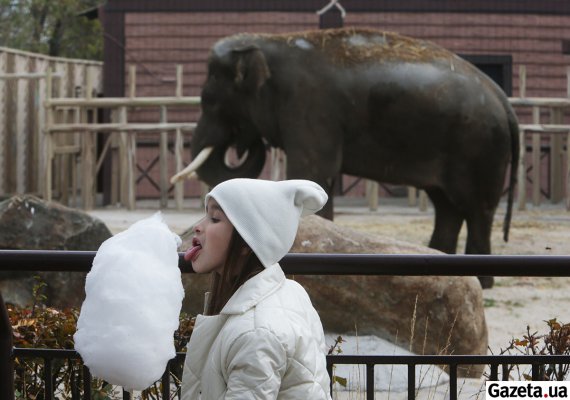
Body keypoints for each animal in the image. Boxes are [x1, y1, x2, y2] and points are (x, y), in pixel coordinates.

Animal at [171, 27, 516, 284]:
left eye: (210, 101)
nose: (244, 141)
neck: (270, 41)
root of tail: (502, 98)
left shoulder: (309, 106)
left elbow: (313, 171)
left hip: (480, 148)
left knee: (477, 209)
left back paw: (481, 280)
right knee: (447, 206)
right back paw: (440, 261)